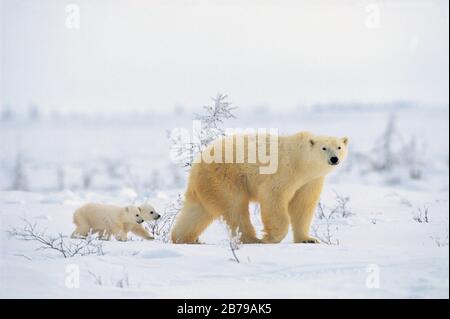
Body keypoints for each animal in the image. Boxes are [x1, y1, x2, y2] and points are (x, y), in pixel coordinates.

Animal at [171, 132, 350, 245]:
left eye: (339, 147)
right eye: (324, 148)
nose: (334, 159)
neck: (301, 162)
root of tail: (198, 163)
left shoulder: (310, 181)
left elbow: (303, 205)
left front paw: (308, 239)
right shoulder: (285, 171)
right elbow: (273, 196)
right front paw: (270, 237)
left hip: (207, 185)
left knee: (197, 211)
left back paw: (183, 239)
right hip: (225, 178)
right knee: (235, 208)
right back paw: (254, 239)